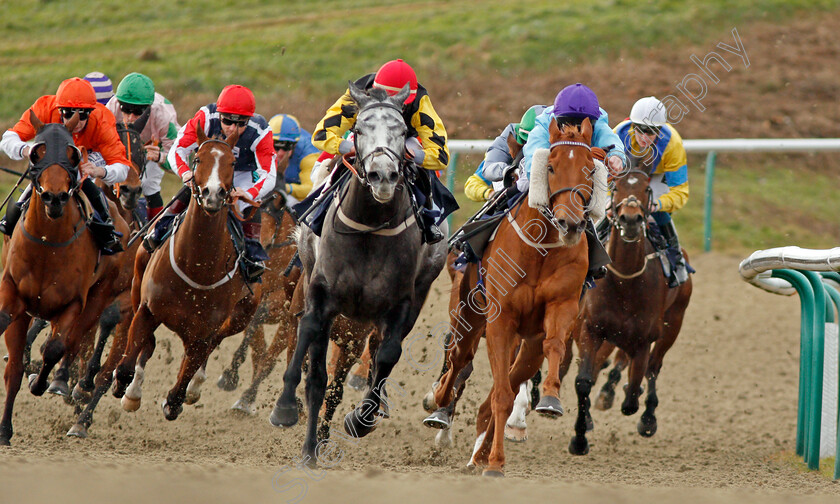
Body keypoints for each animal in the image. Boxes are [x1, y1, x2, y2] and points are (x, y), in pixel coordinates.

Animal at [0, 111, 131, 444]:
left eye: (73, 155)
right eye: (37, 152)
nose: (55, 197)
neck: (48, 244)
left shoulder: (73, 303)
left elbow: (56, 348)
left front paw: (43, 382)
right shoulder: (15, 296)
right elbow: (14, 366)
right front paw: (4, 429)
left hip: (100, 297)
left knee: (75, 342)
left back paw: (64, 383)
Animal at [111, 127, 260, 422]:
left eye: (233, 162)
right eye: (198, 159)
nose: (213, 194)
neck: (197, 266)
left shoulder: (204, 332)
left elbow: (177, 393)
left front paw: (181, 395)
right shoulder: (147, 309)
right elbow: (127, 366)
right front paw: (128, 391)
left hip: (242, 315)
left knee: (209, 348)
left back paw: (195, 386)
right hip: (137, 284)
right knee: (147, 346)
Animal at [272, 81, 450, 464]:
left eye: (402, 131)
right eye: (358, 130)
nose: (382, 176)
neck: (369, 228)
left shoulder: (399, 304)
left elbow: (386, 356)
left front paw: (361, 419)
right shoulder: (323, 296)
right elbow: (315, 374)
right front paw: (298, 431)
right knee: (308, 339)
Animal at [434, 119, 596, 476]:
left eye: (591, 169)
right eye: (550, 167)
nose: (570, 223)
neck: (540, 248)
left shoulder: (561, 306)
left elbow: (554, 346)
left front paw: (550, 400)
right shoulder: (501, 320)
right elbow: (501, 396)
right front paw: (495, 463)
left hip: (527, 348)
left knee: (503, 384)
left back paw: (479, 451)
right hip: (468, 316)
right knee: (459, 358)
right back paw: (439, 401)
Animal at [568, 167, 692, 454]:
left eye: (646, 189)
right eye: (616, 187)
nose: (631, 218)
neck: (624, 280)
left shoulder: (643, 340)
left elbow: (634, 392)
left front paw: (636, 405)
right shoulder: (590, 330)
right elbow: (584, 381)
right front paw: (580, 436)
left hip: (673, 324)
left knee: (653, 368)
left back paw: (647, 417)